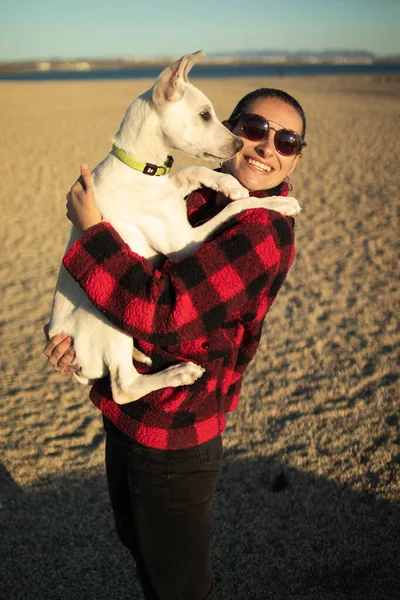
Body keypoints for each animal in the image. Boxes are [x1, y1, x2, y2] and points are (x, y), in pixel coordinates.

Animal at [47, 51, 300, 404]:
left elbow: (190, 171)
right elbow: (236, 207)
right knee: (123, 386)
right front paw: (280, 203)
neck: (141, 169)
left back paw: (142, 355)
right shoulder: (185, 242)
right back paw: (178, 373)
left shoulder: (173, 187)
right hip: (106, 321)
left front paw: (228, 183)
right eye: (205, 114)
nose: (239, 145)